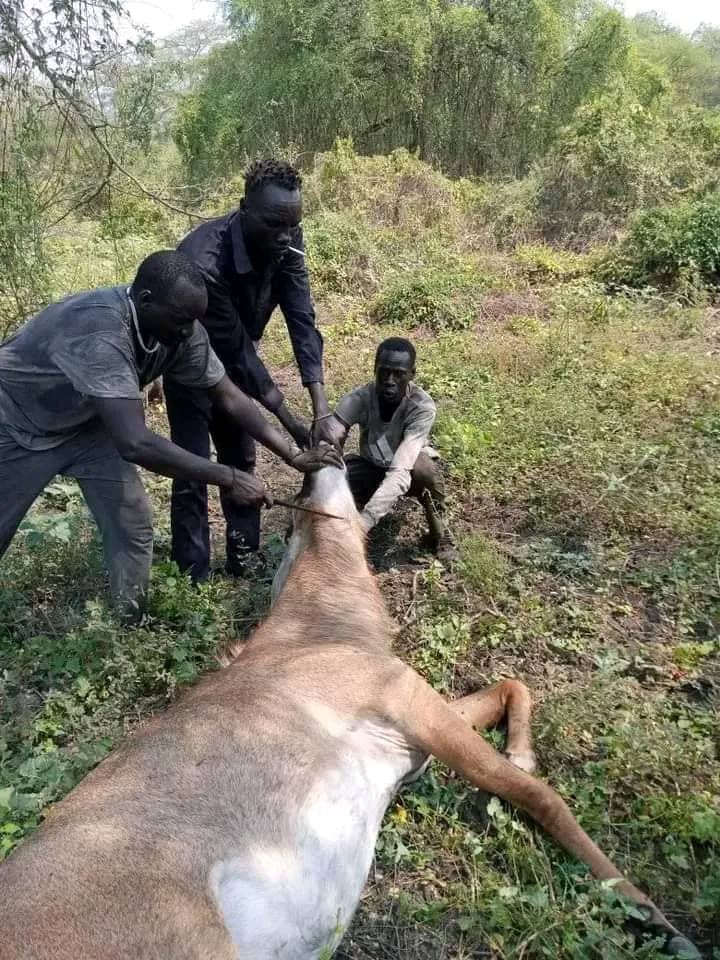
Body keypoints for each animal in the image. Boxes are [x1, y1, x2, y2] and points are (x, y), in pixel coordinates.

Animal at [0, 466, 700, 960]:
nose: (321, 463)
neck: (317, 628)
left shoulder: (411, 742)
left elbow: (509, 684)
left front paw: (521, 747)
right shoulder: (407, 699)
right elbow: (539, 795)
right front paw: (656, 919)